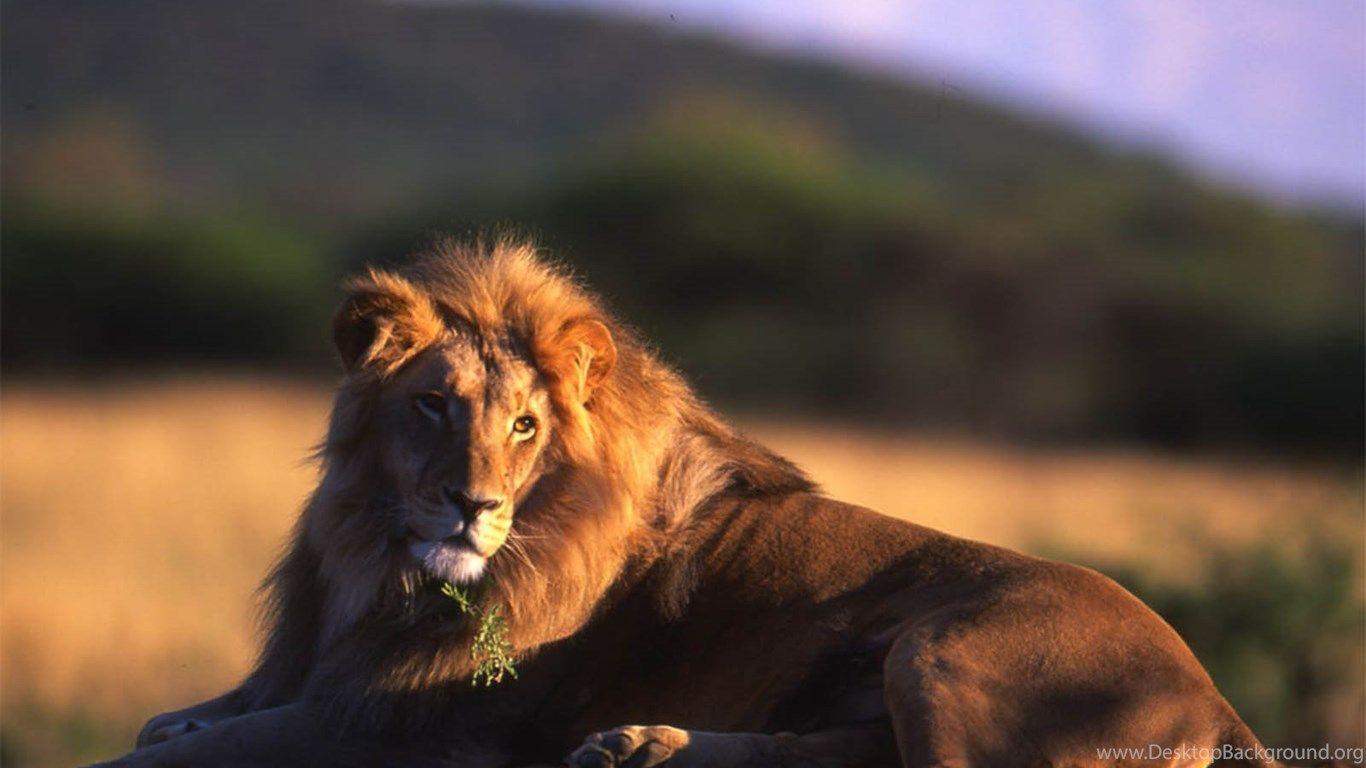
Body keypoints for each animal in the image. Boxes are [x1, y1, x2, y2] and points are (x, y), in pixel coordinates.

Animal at [97, 238, 1278, 768]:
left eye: (524, 428)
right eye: (433, 405)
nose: (472, 506)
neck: (373, 567)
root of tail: (1216, 698)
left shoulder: (422, 726)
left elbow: (183, 751)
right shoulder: (315, 675)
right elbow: (183, 721)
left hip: (950, 651)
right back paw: (637, 749)